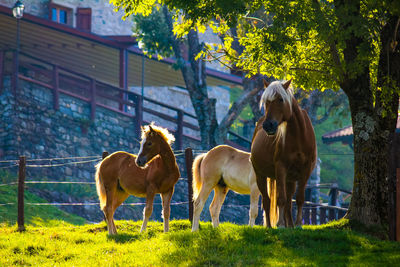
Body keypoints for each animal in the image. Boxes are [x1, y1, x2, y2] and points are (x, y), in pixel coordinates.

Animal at [252, 79, 318, 228]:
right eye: (266, 101)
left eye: (281, 99)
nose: (268, 125)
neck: (299, 137)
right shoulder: (281, 168)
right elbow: (280, 199)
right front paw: (281, 224)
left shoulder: (305, 170)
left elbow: (299, 199)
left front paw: (298, 224)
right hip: (261, 175)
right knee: (267, 201)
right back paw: (270, 225)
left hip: (290, 179)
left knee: (288, 202)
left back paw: (291, 225)